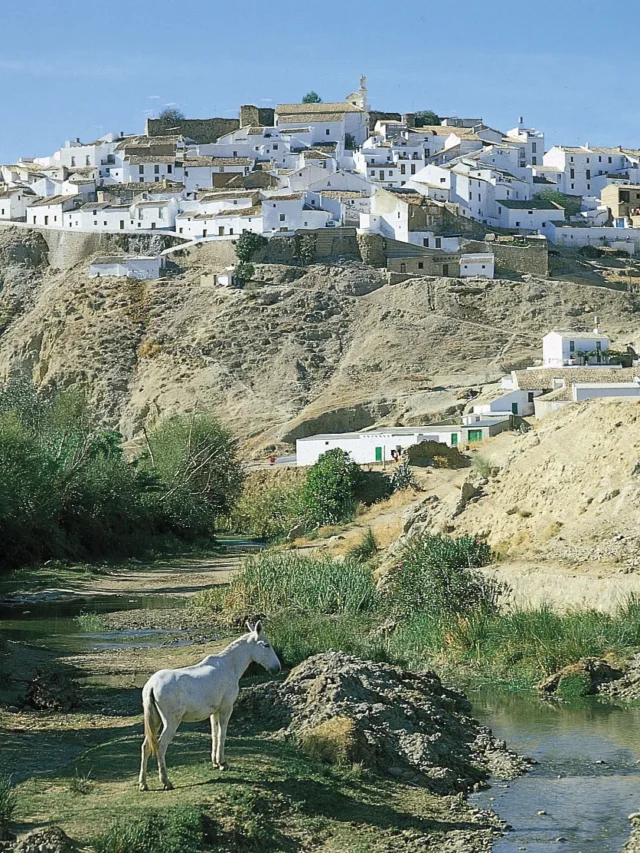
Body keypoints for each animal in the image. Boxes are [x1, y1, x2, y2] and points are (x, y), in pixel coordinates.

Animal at [140, 620, 280, 792]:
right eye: (266, 645)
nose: (277, 668)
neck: (229, 666)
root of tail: (151, 685)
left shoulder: (214, 712)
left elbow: (214, 734)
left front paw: (215, 762)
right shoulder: (226, 708)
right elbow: (222, 734)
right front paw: (222, 763)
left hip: (155, 720)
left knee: (146, 746)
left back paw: (143, 784)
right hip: (170, 723)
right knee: (160, 746)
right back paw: (166, 781)